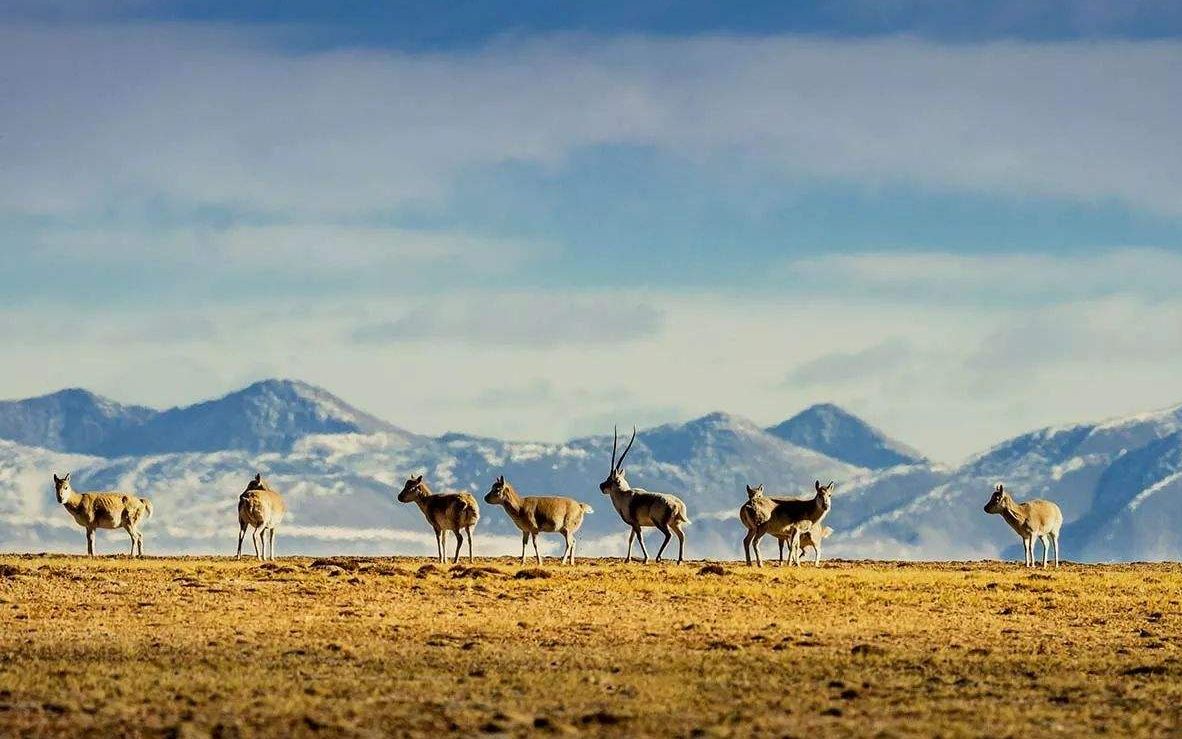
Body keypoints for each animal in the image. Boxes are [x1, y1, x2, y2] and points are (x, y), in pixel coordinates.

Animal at [600, 423, 690, 562]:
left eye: (610, 479)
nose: (601, 486)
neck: (624, 495)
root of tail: (677, 504)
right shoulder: (634, 525)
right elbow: (631, 539)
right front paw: (627, 559)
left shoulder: (636, 524)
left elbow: (639, 538)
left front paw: (646, 558)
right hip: (675, 523)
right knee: (681, 535)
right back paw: (679, 560)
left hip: (660, 523)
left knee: (669, 535)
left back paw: (658, 557)